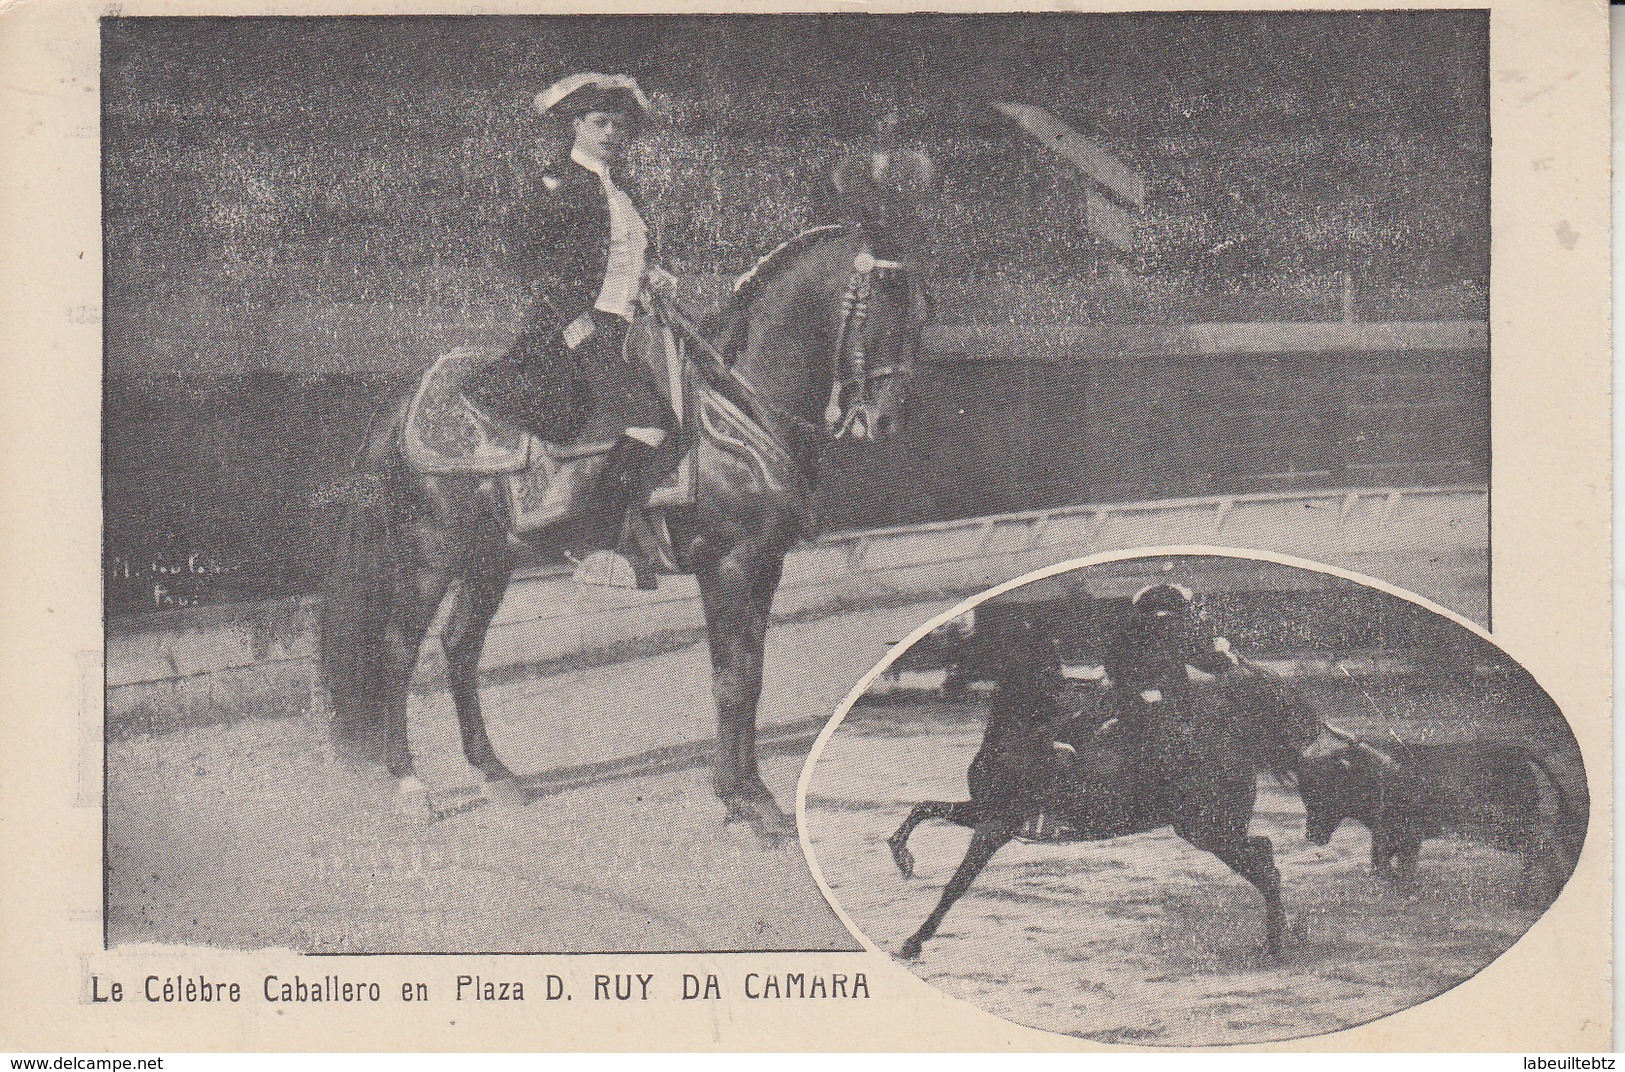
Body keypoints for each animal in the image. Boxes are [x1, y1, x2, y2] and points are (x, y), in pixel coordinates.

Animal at [320, 159, 929, 844]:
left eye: (924, 311)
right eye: (879, 308)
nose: (883, 421)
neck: (741, 406)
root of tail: (404, 407)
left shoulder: (764, 565)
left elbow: (749, 675)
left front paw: (747, 795)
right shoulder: (728, 563)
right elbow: (734, 680)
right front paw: (746, 801)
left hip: (490, 557)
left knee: (460, 648)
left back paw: (498, 776)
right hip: (432, 554)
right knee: (399, 651)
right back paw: (410, 786)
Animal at [890, 649, 1332, 961]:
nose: (944, 683)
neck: (1027, 733)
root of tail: (1237, 736)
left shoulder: (996, 824)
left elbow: (956, 884)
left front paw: (913, 942)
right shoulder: (986, 811)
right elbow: (924, 808)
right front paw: (902, 858)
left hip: (1208, 830)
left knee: (1265, 865)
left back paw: (1274, 946)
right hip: (1212, 829)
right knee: (1265, 855)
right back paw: (1278, 940)